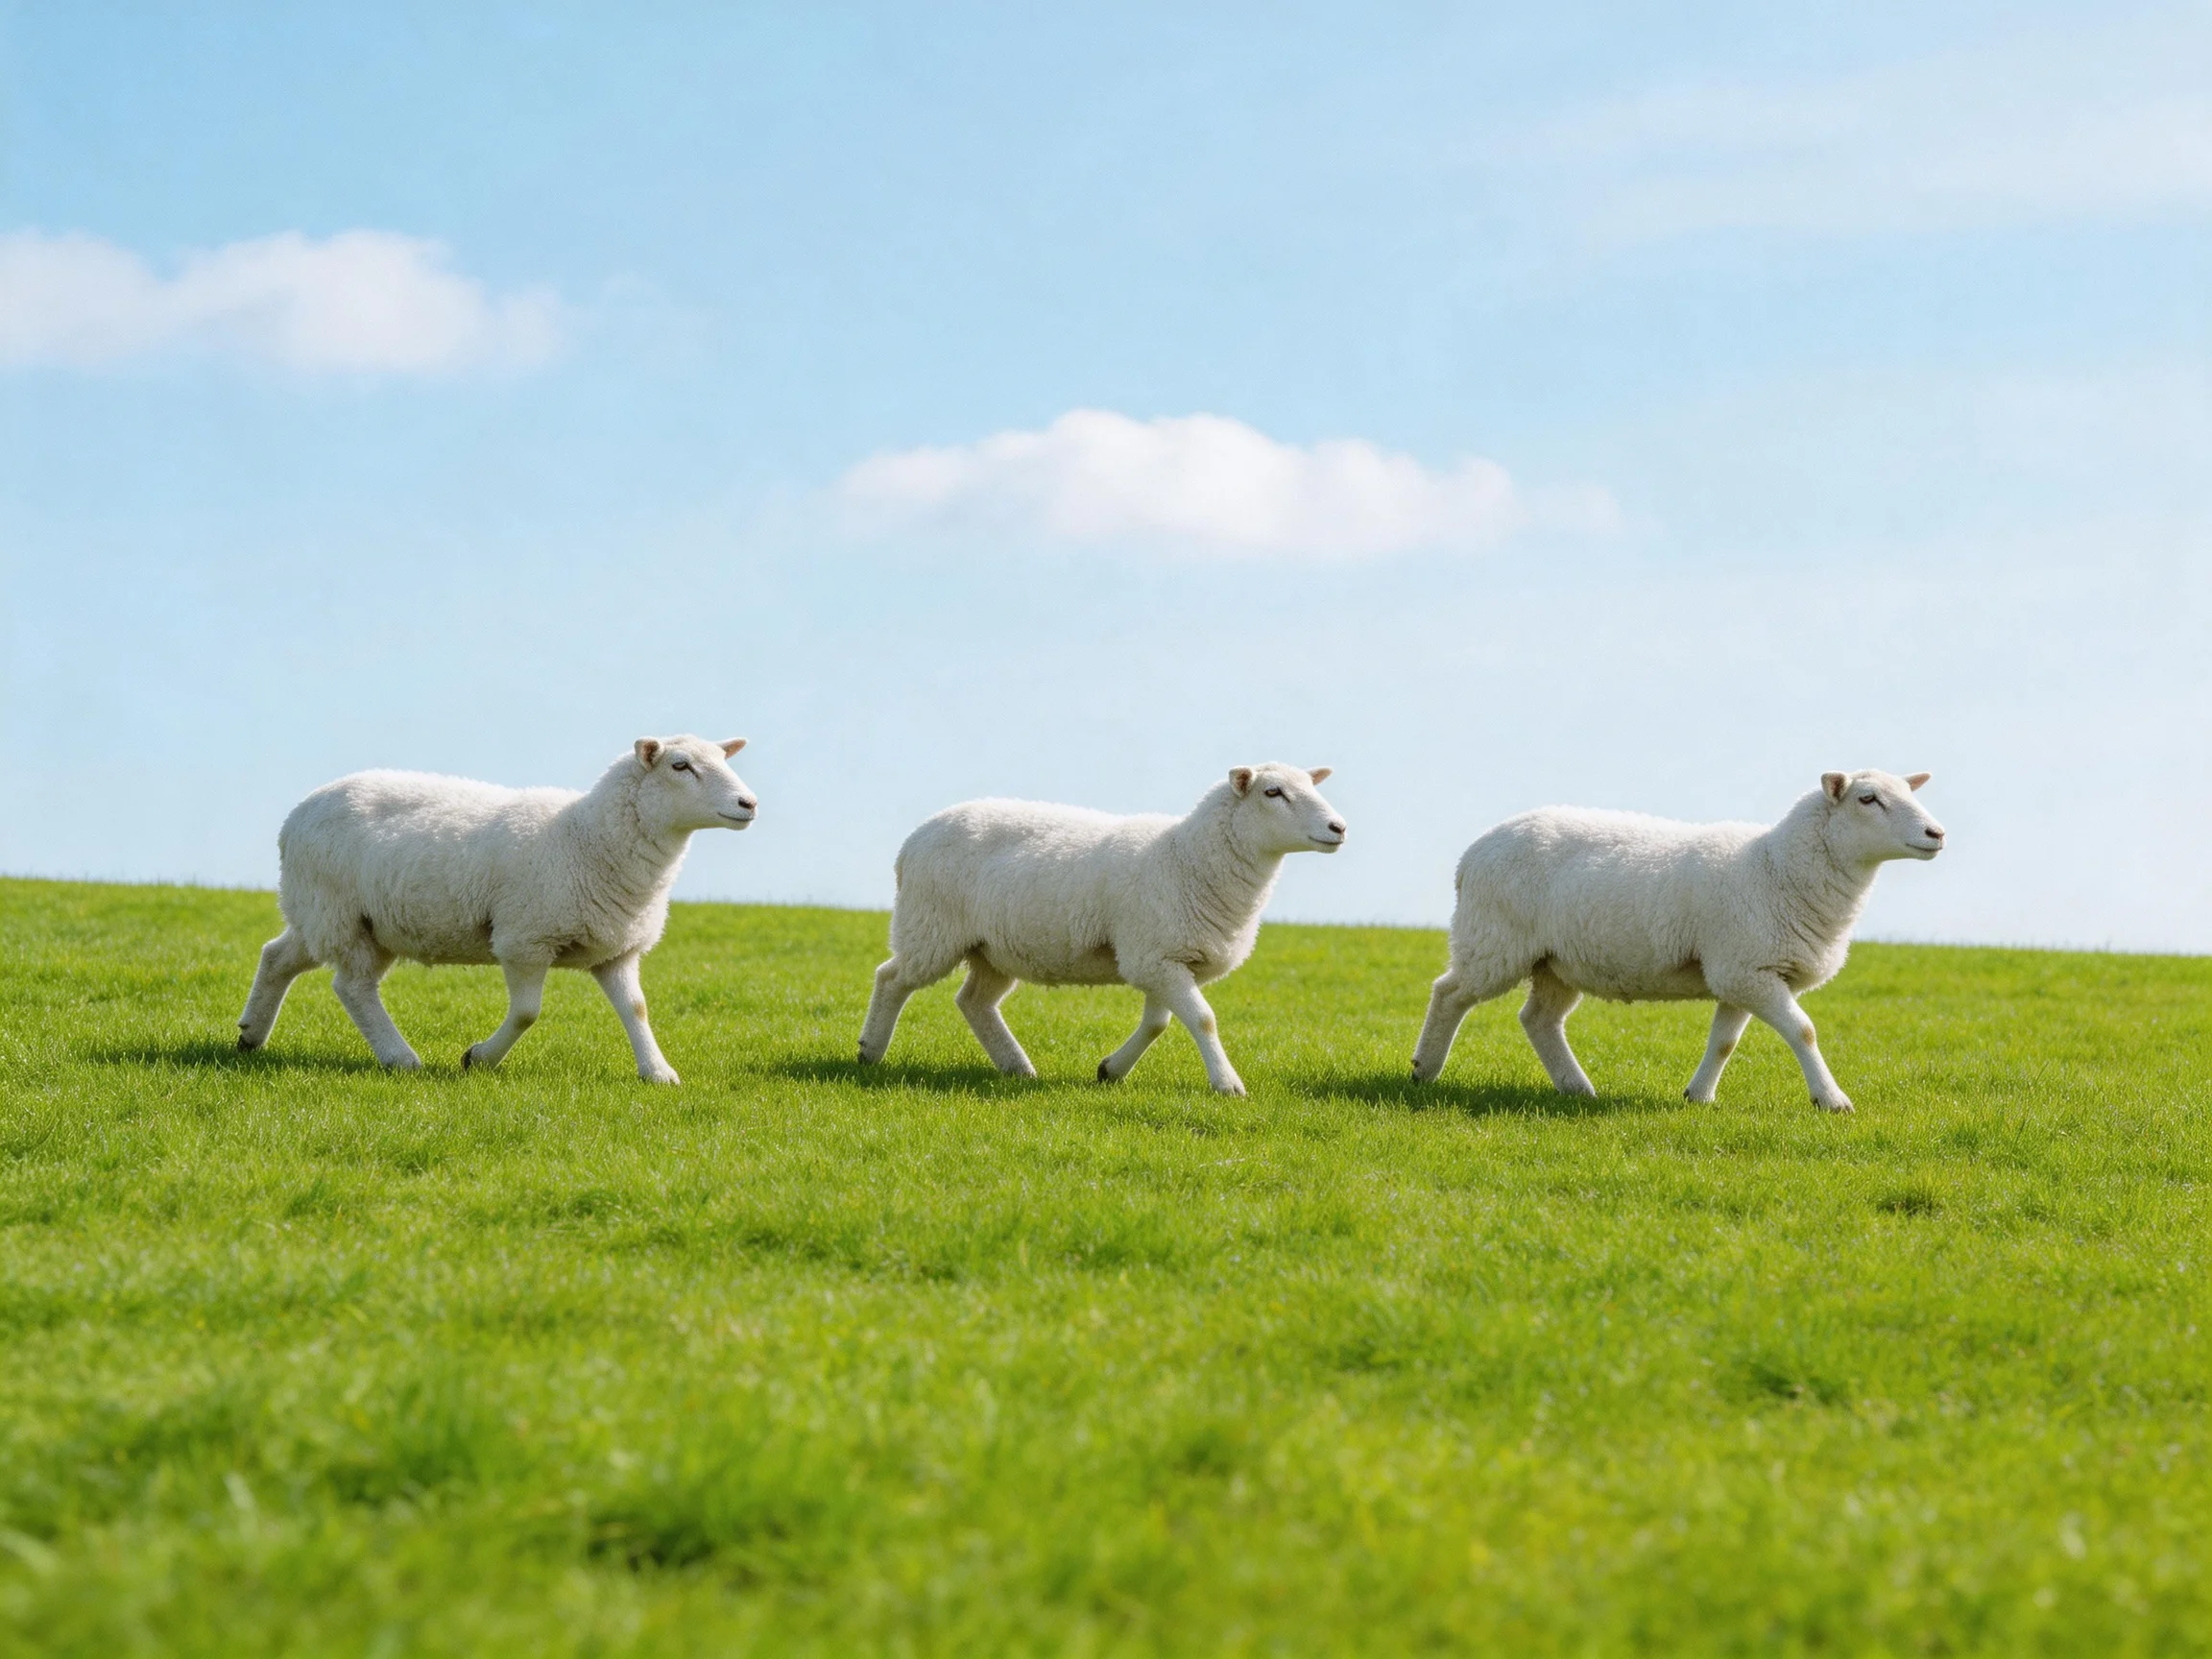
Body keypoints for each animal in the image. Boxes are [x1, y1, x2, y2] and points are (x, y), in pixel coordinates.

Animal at [236, 736, 757, 1083]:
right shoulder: (525, 939)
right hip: (339, 913)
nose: (748, 803)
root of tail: (297, 814)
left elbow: (637, 1008)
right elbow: (527, 1012)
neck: (586, 837)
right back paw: (400, 1058)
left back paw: (250, 1035)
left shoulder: (616, 949)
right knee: (352, 987)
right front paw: (479, 1058)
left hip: (332, 915)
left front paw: (657, 1072)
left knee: (277, 956)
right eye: (681, 765)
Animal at [856, 764, 1346, 1095]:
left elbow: (1158, 1024)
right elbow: (1202, 1019)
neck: (1186, 857)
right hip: (931, 926)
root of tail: (912, 842)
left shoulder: (1162, 958)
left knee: (974, 1001)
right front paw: (1227, 1085)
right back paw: (870, 1052)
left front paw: (1110, 1071)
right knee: (892, 977)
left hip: (993, 947)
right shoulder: (1155, 957)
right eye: (1273, 792)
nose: (1338, 827)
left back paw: (1017, 1067)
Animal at [1410, 770, 1945, 1112]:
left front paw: (1698, 1098)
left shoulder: (1742, 973)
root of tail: (1471, 855)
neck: (1778, 867)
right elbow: (1804, 1031)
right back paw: (1424, 1071)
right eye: (1868, 799)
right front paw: (1832, 1101)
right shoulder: (1747, 970)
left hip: (1556, 960)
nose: (1936, 832)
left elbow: (1725, 1041)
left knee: (1539, 1019)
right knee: (1449, 993)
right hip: (1494, 940)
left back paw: (1577, 1088)